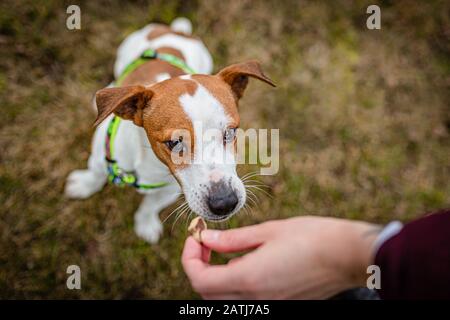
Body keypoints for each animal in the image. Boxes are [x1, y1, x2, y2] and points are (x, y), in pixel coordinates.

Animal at [63, 18, 274, 242]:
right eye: (174, 143)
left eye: (231, 133)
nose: (225, 202)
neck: (150, 162)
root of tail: (177, 31)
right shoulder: (100, 158)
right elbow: (95, 174)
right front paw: (84, 185)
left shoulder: (170, 189)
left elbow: (150, 206)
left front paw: (145, 223)